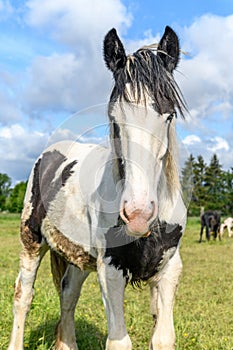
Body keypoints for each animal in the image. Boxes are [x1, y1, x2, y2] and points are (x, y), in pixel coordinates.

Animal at [8, 26, 187, 350]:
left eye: (169, 115)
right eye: (114, 119)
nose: (138, 213)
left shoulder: (169, 270)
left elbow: (164, 338)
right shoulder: (111, 271)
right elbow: (119, 342)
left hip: (76, 256)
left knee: (68, 294)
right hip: (31, 240)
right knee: (23, 296)